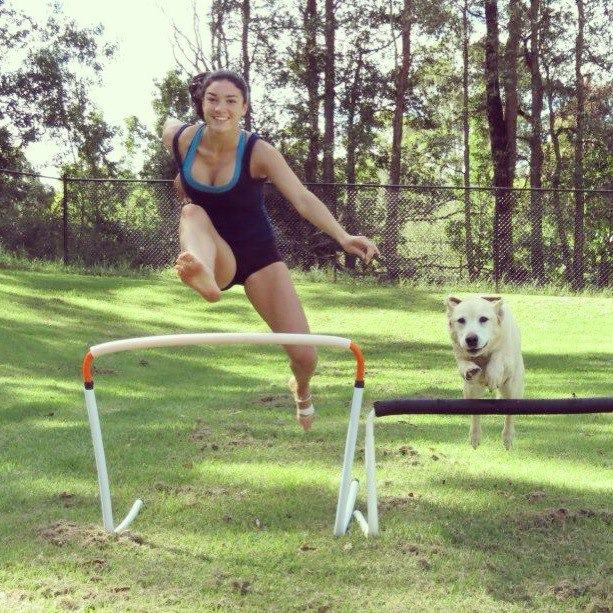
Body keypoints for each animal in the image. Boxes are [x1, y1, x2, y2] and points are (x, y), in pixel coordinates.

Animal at [448, 296, 524, 450]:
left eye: (483, 319)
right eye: (461, 320)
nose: (471, 339)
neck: (483, 354)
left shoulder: (506, 355)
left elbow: (498, 357)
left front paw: (492, 375)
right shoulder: (459, 354)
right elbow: (463, 363)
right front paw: (470, 369)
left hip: (512, 389)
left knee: (510, 416)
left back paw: (507, 438)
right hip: (470, 390)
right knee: (475, 415)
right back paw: (475, 437)